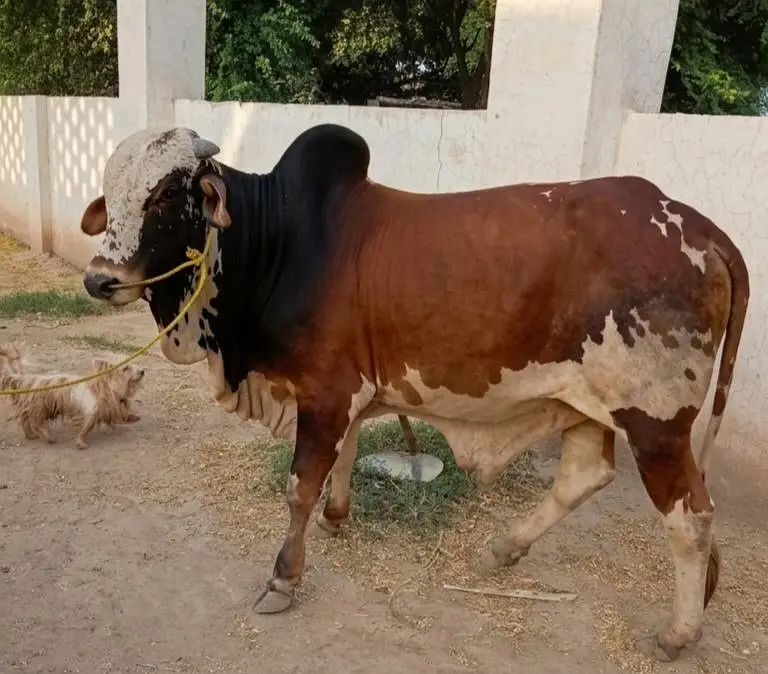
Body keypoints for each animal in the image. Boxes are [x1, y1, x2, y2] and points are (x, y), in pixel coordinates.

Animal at [80, 123, 749, 662]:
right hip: (587, 405)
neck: (279, 241)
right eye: (111, 194)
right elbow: (343, 460)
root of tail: (699, 225)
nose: (99, 279)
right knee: (582, 476)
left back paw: (678, 634)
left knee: (691, 517)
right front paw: (337, 520)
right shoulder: (344, 395)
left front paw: (284, 579)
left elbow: (299, 487)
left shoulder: (325, 391)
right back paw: (501, 550)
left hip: (656, 422)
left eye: (168, 193)